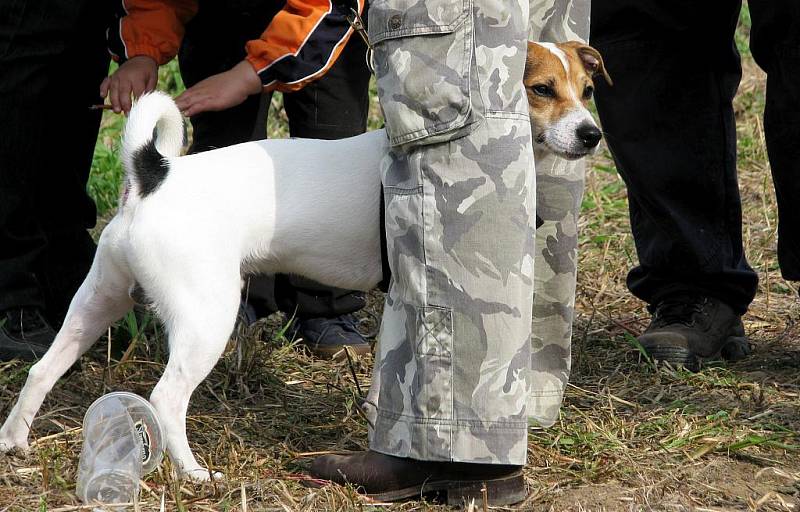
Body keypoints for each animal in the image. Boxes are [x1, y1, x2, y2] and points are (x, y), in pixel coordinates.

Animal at [0, 41, 608, 480]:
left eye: (586, 91)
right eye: (541, 90)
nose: (592, 134)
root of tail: (155, 176)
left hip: (97, 301)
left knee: (42, 369)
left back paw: (15, 440)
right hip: (205, 320)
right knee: (166, 398)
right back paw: (193, 473)